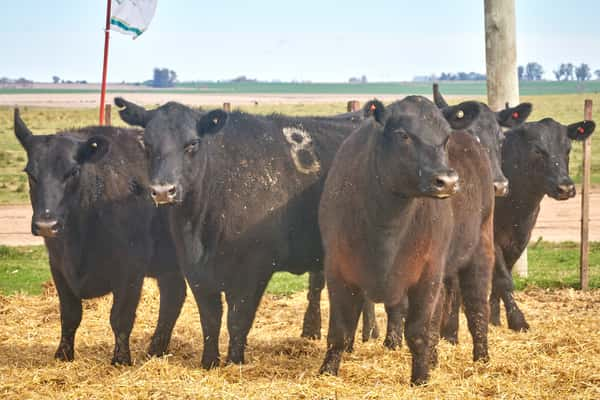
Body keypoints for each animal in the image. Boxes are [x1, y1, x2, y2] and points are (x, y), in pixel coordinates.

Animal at [14, 110, 188, 366]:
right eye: (30, 174)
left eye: (73, 172)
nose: (46, 225)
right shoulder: (58, 265)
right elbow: (70, 314)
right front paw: (63, 355)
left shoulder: (131, 268)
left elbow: (120, 317)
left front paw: (121, 360)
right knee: (173, 295)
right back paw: (155, 350)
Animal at [113, 97, 370, 368]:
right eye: (146, 144)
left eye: (192, 143)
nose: (163, 191)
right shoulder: (195, 270)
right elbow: (210, 318)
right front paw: (209, 362)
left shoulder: (254, 267)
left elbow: (238, 320)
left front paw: (234, 362)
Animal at [316, 96, 494, 384]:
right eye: (403, 135)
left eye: (445, 138)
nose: (447, 180)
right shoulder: (337, 269)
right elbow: (339, 331)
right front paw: (327, 372)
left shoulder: (427, 274)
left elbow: (419, 331)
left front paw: (420, 379)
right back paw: (435, 360)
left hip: (480, 248)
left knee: (478, 308)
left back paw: (482, 360)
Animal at [490, 117, 592, 330]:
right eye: (537, 150)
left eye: (568, 149)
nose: (565, 188)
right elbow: (503, 278)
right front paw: (517, 320)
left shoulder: (520, 237)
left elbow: (502, 276)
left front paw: (494, 320)